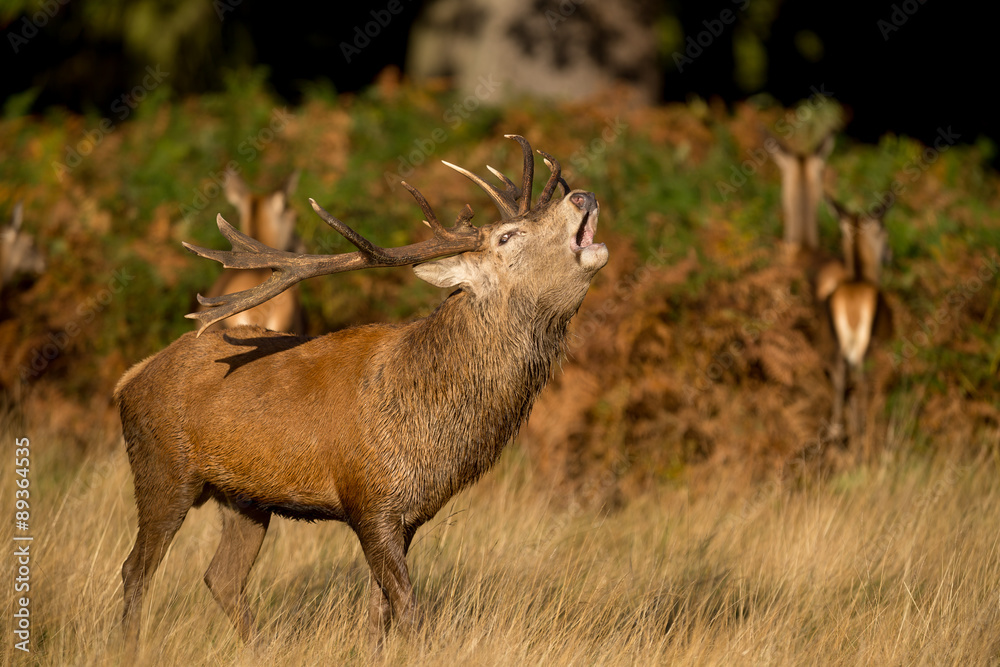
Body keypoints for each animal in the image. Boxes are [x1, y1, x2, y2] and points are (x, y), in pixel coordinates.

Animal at [821, 197, 892, 445]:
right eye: (883, 228)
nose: (889, 254)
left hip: (838, 347)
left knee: (840, 378)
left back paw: (838, 434)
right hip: (866, 349)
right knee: (861, 383)